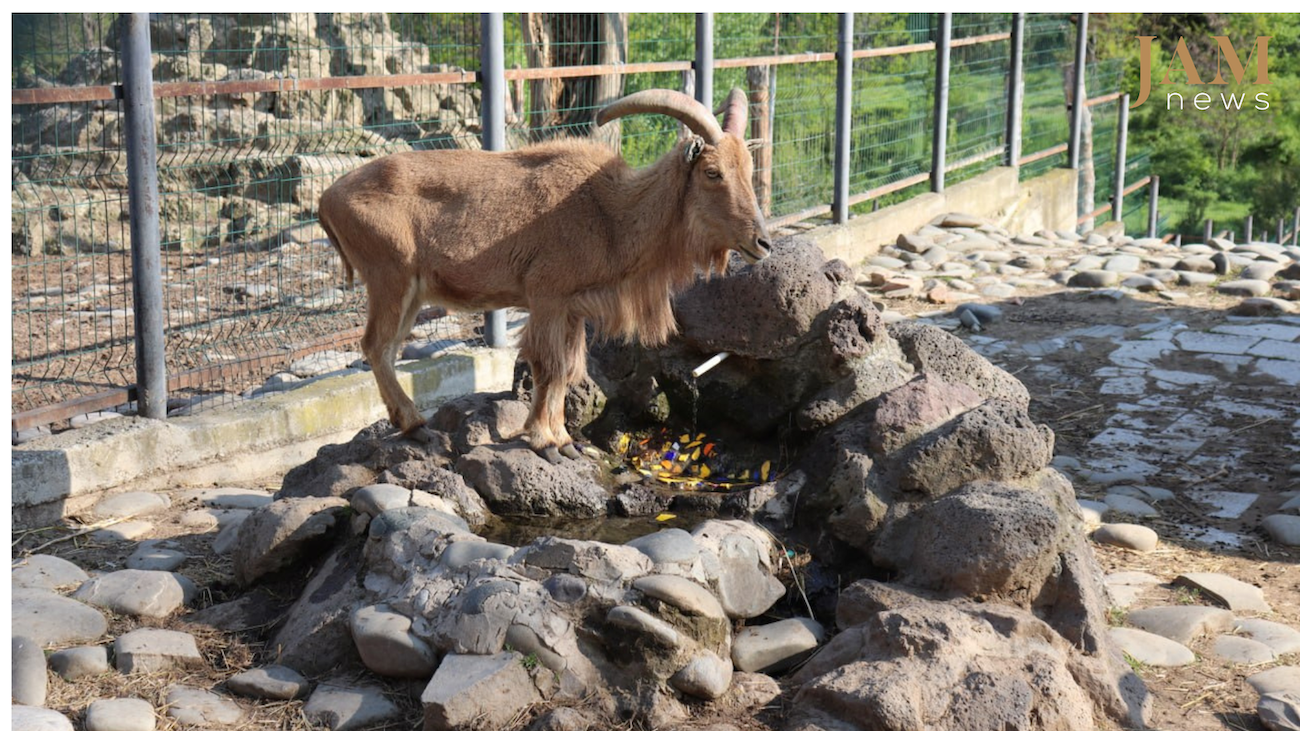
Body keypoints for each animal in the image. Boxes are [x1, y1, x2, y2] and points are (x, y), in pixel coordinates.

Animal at [318, 87, 771, 463]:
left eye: (749, 167)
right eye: (712, 172)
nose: (762, 243)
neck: (610, 214)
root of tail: (327, 198)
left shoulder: (572, 309)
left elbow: (567, 370)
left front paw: (565, 440)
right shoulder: (548, 297)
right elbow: (548, 366)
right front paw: (546, 442)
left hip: (412, 293)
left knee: (388, 348)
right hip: (390, 279)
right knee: (376, 346)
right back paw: (415, 425)